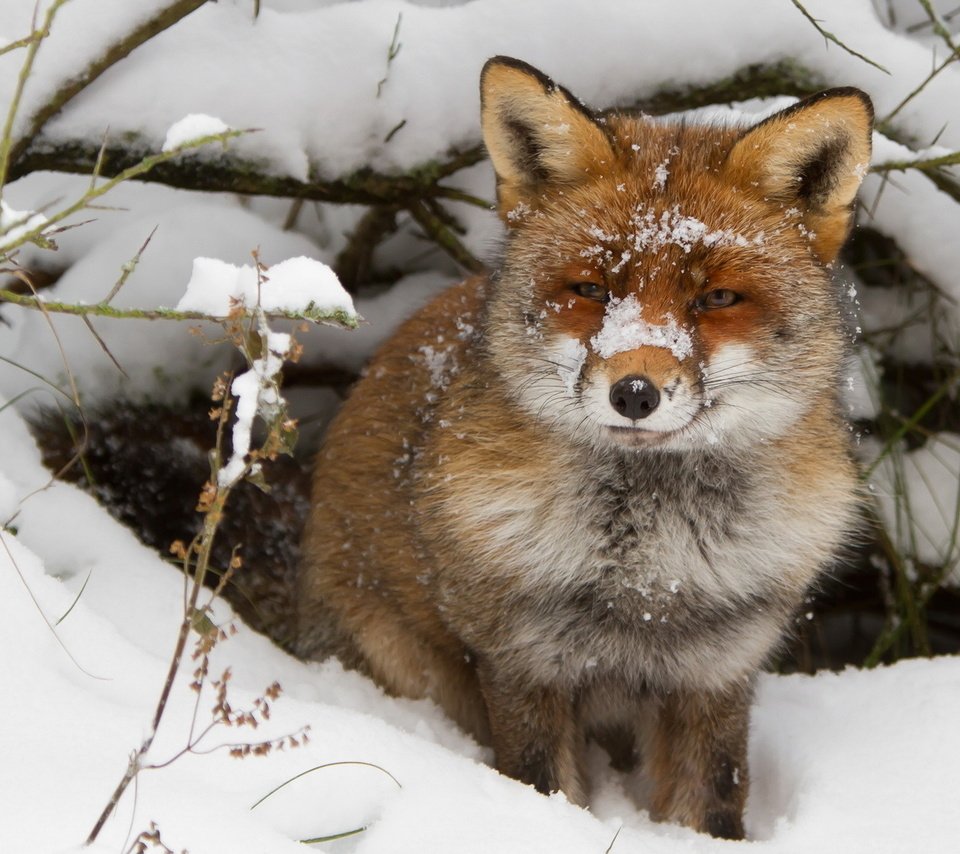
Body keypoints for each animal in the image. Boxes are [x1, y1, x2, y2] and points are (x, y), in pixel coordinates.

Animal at [296, 56, 872, 840]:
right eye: (593, 288)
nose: (635, 392)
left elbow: (714, 802)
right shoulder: (524, 662)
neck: (649, 577)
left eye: (717, 299)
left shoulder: (718, 670)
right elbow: (544, 790)